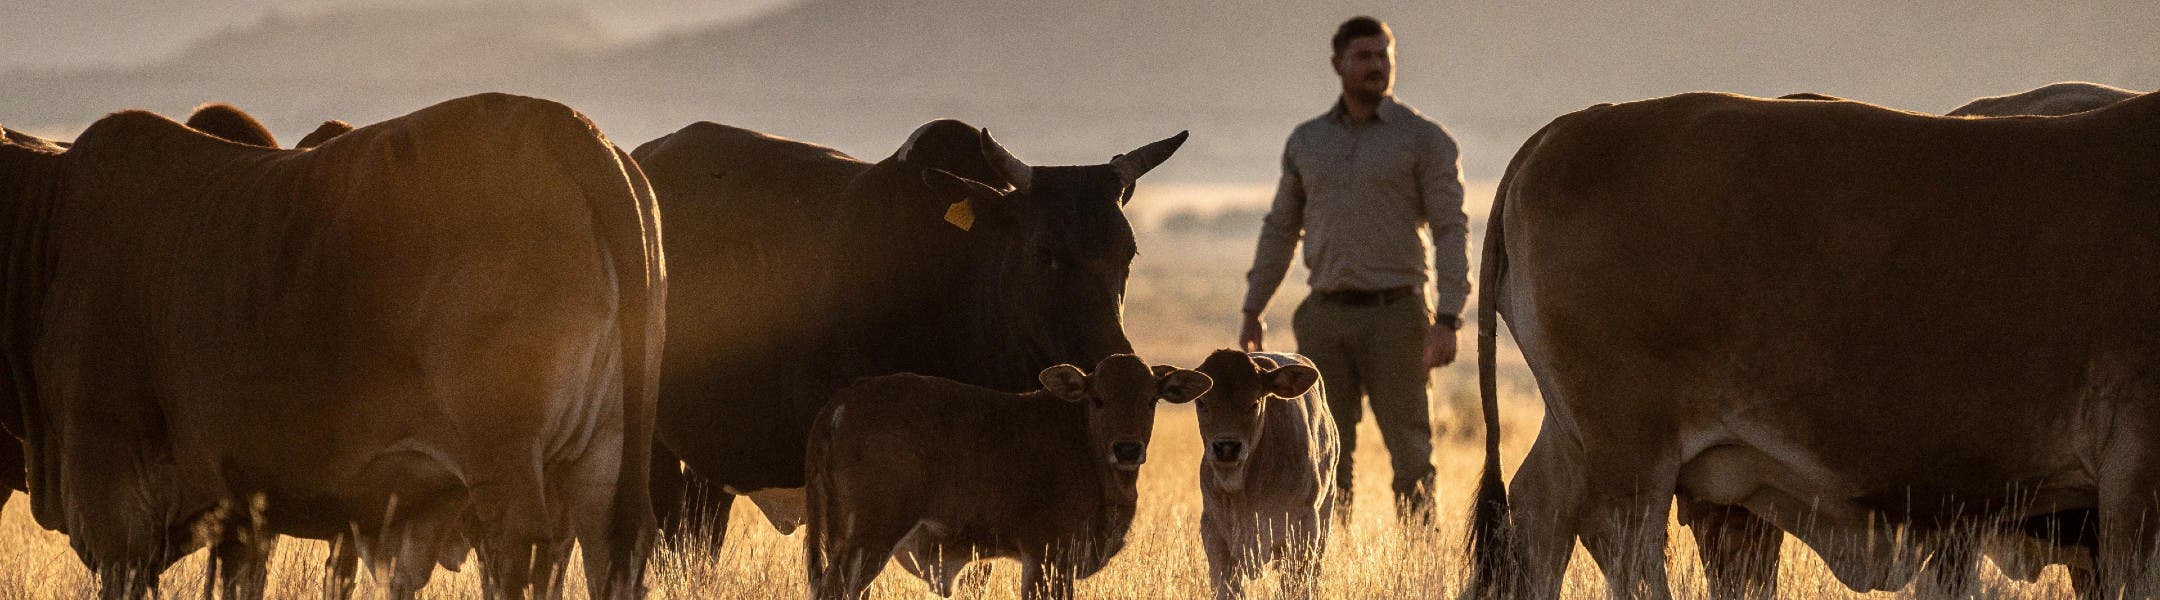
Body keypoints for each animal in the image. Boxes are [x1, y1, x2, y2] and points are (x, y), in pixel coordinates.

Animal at [2, 91, 665, 595]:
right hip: (600, 464)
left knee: (519, 558)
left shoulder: (115, 506)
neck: (47, 226)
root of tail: (573, 131)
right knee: (606, 554)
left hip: (508, 470)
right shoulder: (240, 519)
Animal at [807, 353, 1218, 595]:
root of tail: (845, 398)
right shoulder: (1047, 557)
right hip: (870, 536)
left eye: (1151, 400)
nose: (1128, 449)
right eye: (1098, 399)